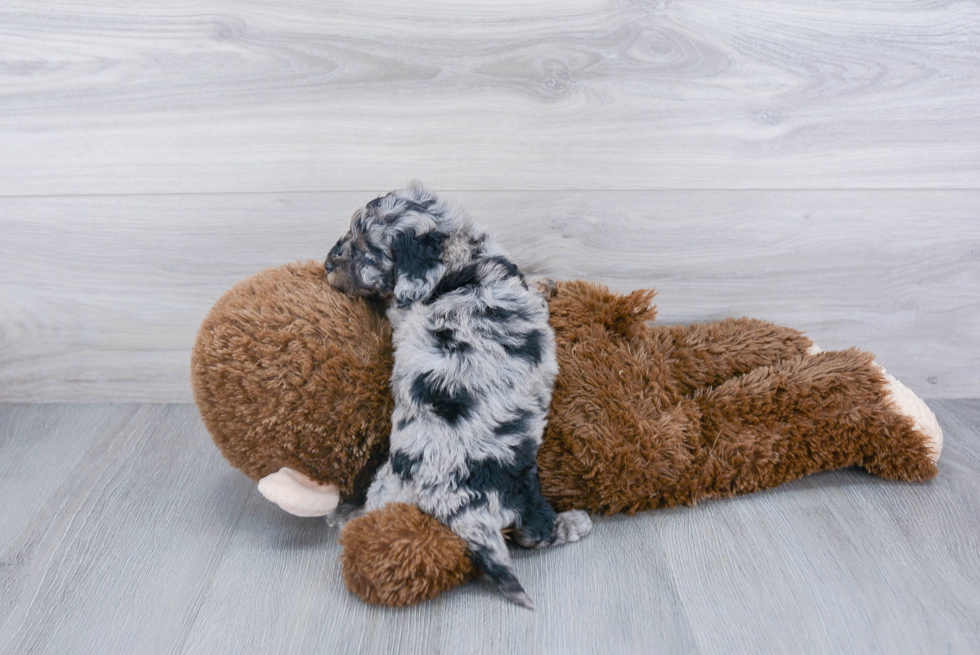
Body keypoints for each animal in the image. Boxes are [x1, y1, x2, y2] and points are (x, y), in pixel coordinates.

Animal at [326, 181, 592, 608]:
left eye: (366, 252)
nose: (326, 265)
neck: (456, 263)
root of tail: (449, 505)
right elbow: (533, 289)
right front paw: (546, 284)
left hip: (387, 484)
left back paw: (345, 513)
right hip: (521, 485)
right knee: (532, 532)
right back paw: (575, 522)